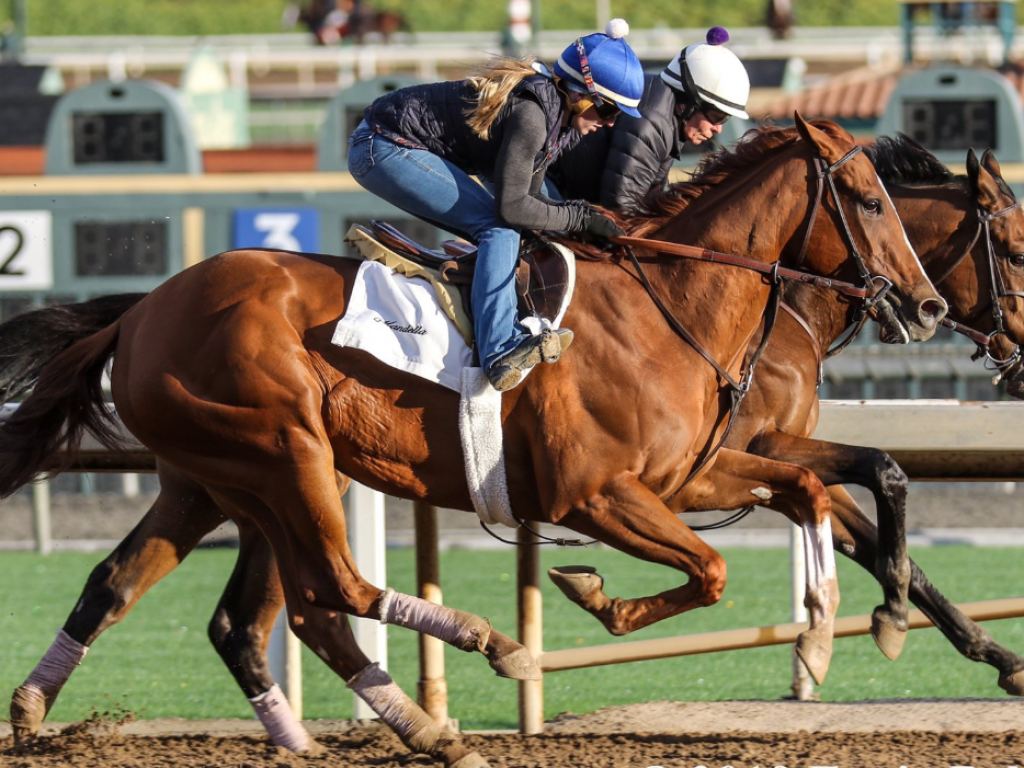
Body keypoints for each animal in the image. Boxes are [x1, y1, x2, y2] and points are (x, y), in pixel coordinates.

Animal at [2, 117, 942, 765]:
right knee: (330, 590)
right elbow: (710, 569)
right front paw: (593, 594)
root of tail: (141, 311)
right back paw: (483, 662)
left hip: (210, 479)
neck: (667, 308)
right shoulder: (593, 493)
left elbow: (807, 493)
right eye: (869, 200)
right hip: (285, 455)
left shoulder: (686, 477)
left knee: (155, 592)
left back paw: (34, 710)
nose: (928, 305)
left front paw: (836, 632)